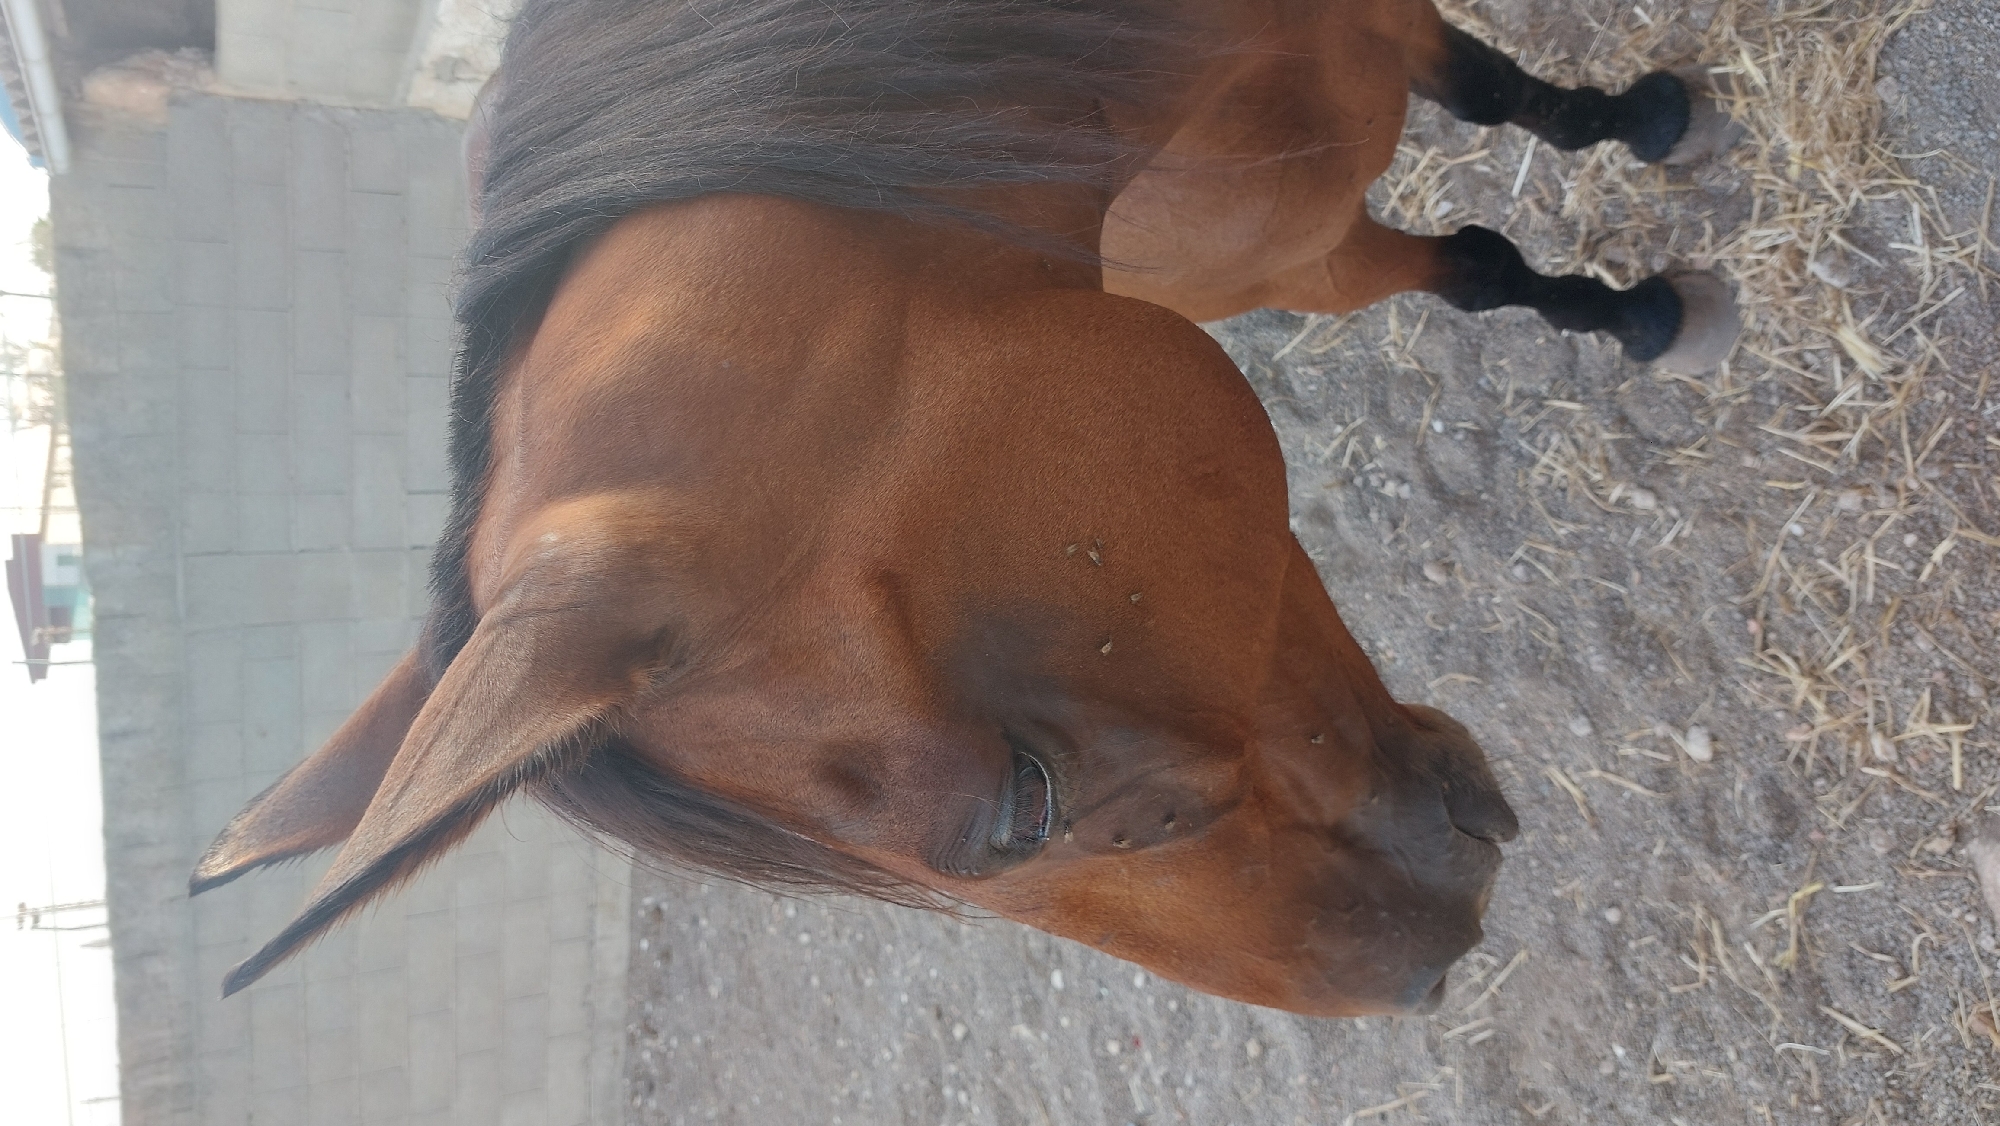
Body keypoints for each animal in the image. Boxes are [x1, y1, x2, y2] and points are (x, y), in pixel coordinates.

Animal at [190, 0, 1740, 1017]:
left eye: (1021, 798)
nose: (1417, 968)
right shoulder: (1314, 255)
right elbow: (1476, 261)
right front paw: (1638, 298)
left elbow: (1500, 114)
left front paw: (1649, 161)